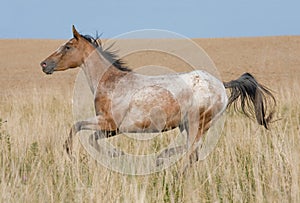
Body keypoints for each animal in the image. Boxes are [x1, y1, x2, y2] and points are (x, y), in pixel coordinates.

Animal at [40, 25, 276, 165]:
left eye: (68, 46)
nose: (43, 64)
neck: (112, 83)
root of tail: (220, 84)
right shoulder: (112, 129)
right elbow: (90, 136)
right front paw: (116, 154)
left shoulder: (109, 122)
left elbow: (78, 126)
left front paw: (72, 152)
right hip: (190, 125)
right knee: (193, 151)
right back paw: (162, 159)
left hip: (196, 123)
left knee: (192, 152)